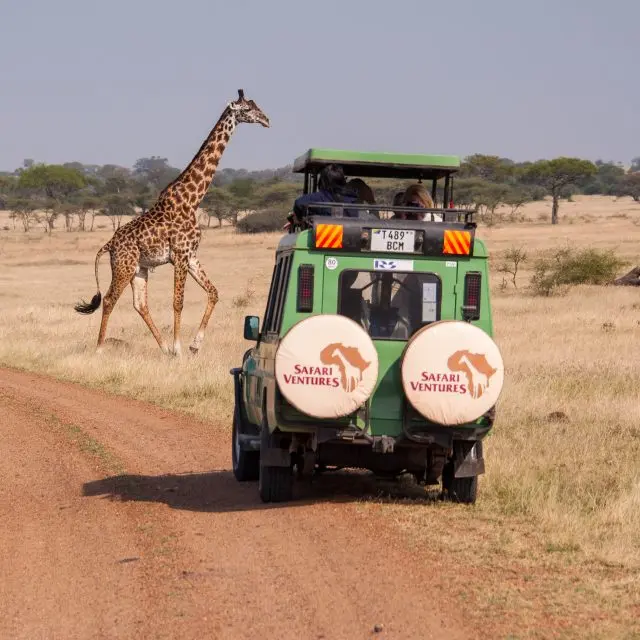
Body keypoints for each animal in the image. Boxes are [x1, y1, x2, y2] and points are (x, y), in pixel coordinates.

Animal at [74, 89, 270, 356]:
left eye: (255, 105)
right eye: (247, 109)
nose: (266, 120)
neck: (192, 200)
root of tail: (109, 245)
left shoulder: (191, 255)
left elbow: (214, 292)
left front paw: (193, 345)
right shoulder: (179, 255)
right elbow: (178, 302)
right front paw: (179, 349)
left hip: (139, 268)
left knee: (140, 304)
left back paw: (163, 347)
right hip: (124, 266)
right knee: (109, 299)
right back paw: (100, 349)